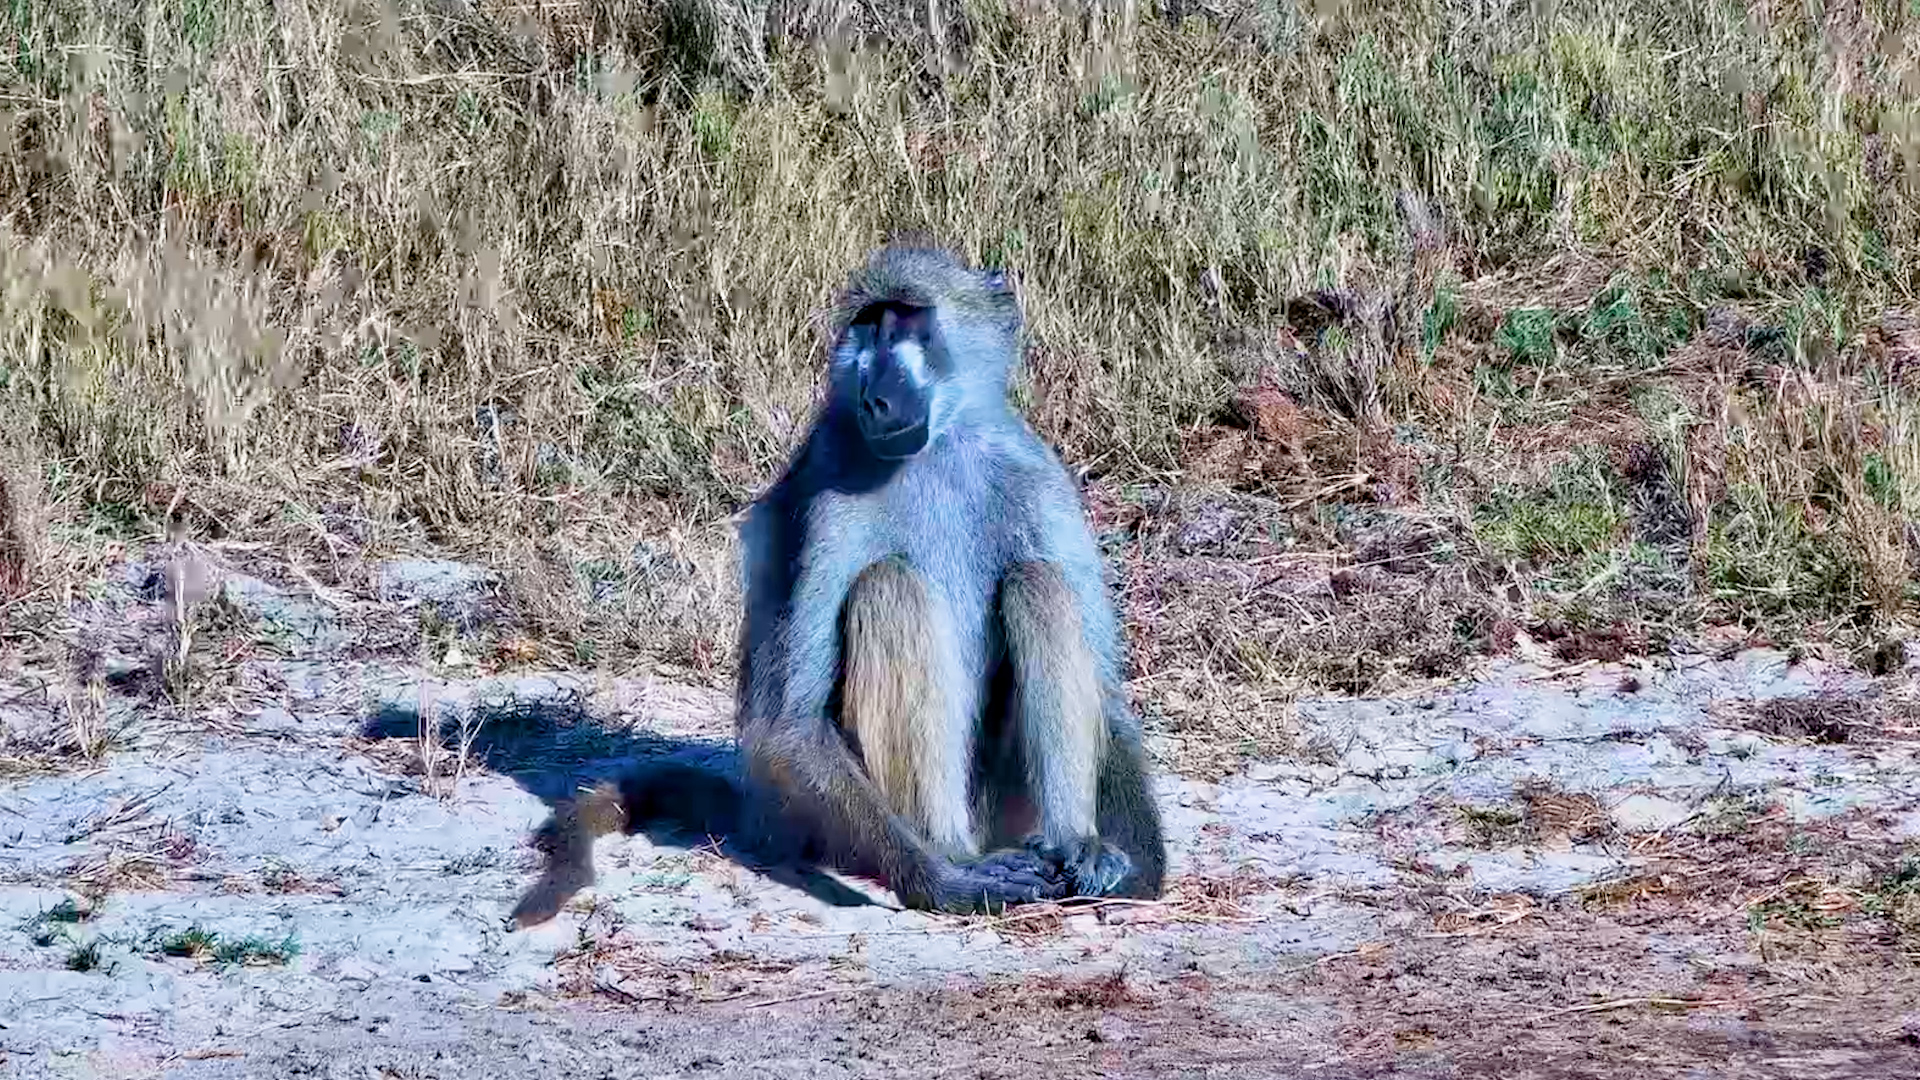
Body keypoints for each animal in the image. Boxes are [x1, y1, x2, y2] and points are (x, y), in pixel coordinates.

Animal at [509, 243, 1164, 925]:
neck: (940, 447)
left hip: (1005, 805)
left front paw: (1135, 869)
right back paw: (954, 854)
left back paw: (1073, 842)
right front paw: (945, 883)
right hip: (843, 818)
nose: (878, 398)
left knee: (1038, 581)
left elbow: (1108, 691)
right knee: (890, 586)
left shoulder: (1041, 478)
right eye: (870, 324)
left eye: (909, 321)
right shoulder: (831, 493)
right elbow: (789, 722)